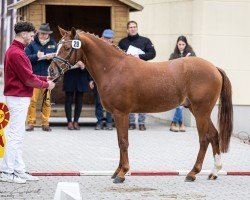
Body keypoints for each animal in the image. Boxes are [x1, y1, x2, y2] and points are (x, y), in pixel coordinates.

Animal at [48, 27, 232, 184]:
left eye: (66, 48)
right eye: (57, 46)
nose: (51, 71)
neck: (114, 68)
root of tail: (214, 68)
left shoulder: (121, 113)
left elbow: (123, 142)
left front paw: (122, 174)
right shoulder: (117, 115)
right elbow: (119, 141)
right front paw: (117, 171)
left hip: (201, 111)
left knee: (204, 139)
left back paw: (192, 173)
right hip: (198, 111)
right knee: (214, 135)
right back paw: (214, 171)